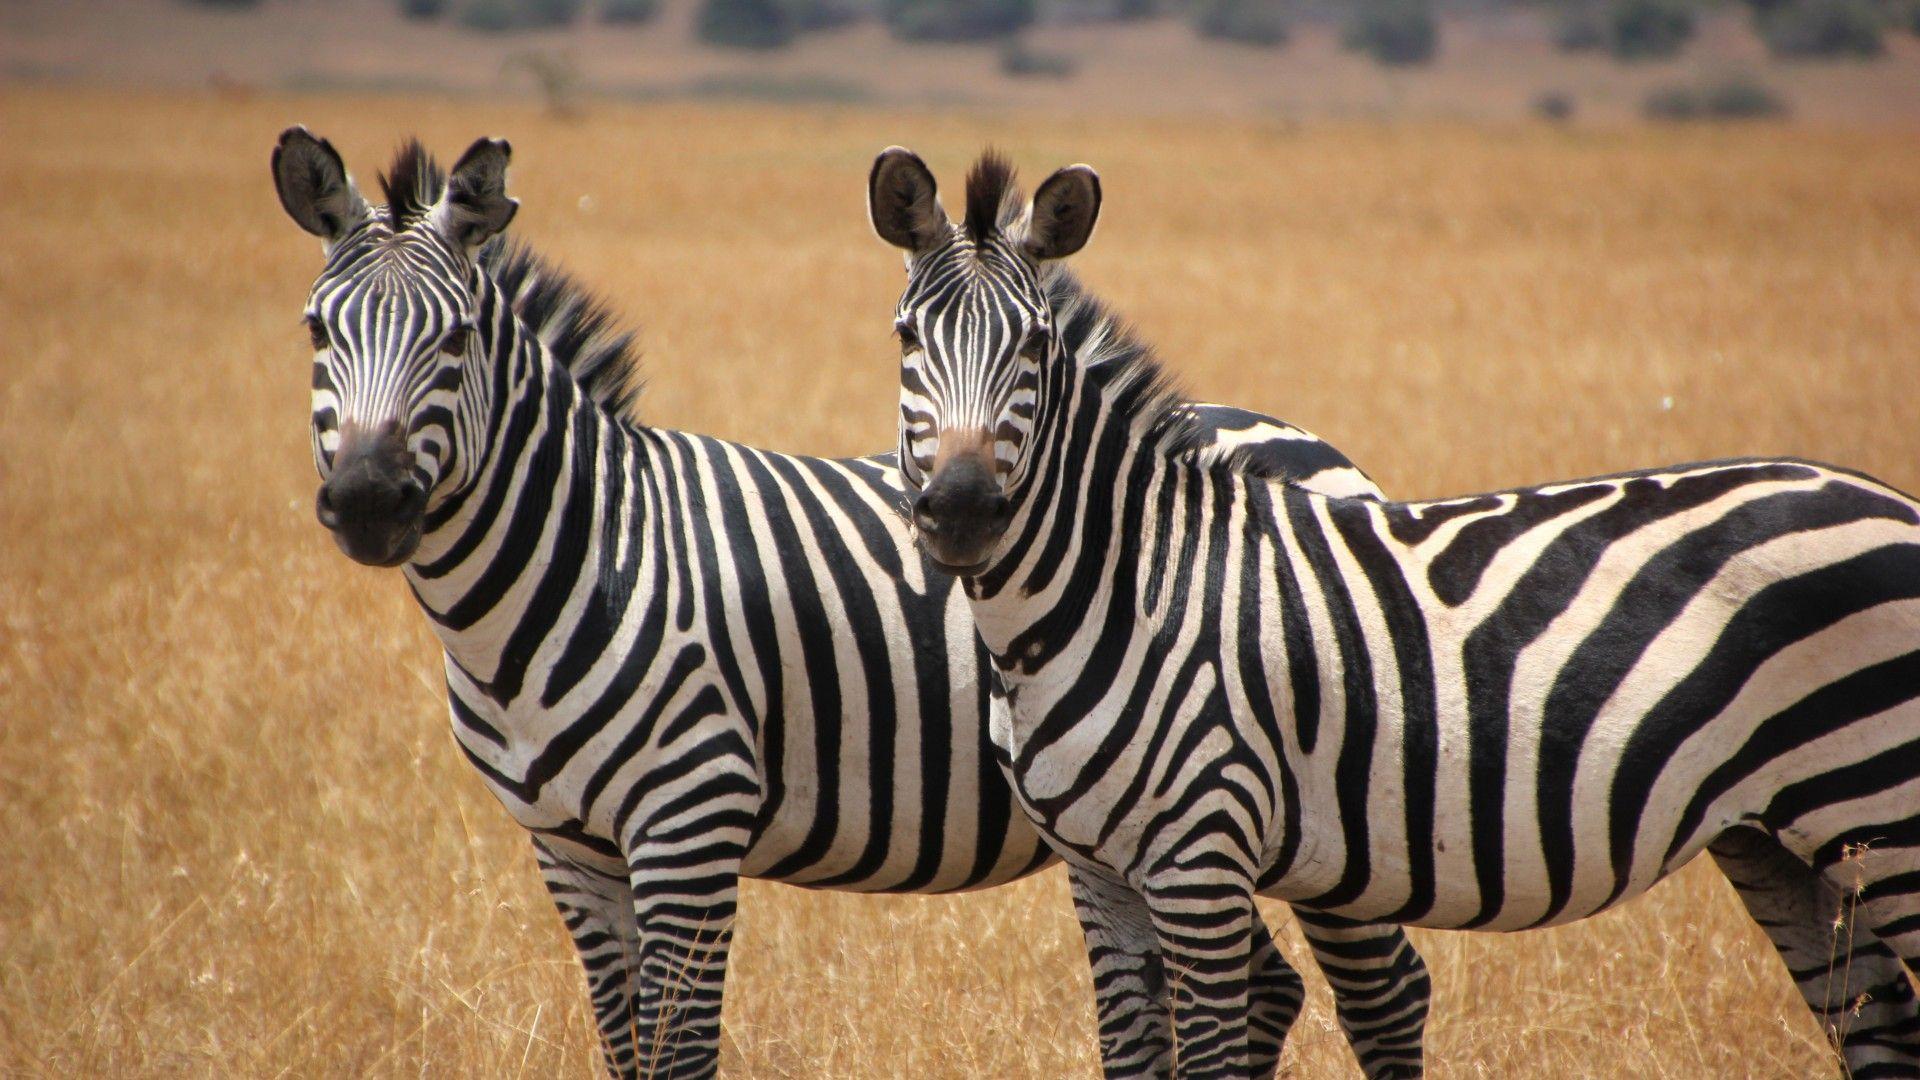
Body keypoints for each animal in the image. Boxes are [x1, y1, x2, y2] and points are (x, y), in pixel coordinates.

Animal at [269, 127, 1416, 1078]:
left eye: (457, 337)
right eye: (317, 332)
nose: (367, 501)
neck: (586, 556)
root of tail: (1306, 440)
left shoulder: (691, 821)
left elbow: (678, 1053)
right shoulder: (570, 852)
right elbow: (625, 1049)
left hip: (1332, 812)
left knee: (1384, 990)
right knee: (1271, 987)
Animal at [871, 145, 1920, 1079]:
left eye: (1035, 346)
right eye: (906, 340)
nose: (960, 511)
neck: (1117, 591)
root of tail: (1885, 497)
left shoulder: (1201, 856)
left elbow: (1208, 1057)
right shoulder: (1099, 876)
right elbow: (1131, 1056)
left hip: (1887, 805)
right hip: (1782, 841)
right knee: (1874, 1024)